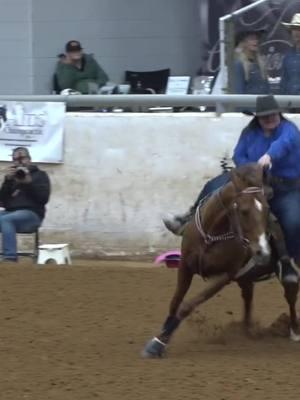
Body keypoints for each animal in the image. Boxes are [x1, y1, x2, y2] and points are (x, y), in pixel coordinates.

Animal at [142, 164, 298, 358]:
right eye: (244, 211)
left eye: (267, 210)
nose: (263, 252)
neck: (212, 236)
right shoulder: (185, 265)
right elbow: (175, 302)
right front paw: (163, 334)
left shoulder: (224, 277)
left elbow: (186, 306)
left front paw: (157, 344)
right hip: (246, 278)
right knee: (248, 297)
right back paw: (247, 331)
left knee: (291, 295)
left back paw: (294, 331)